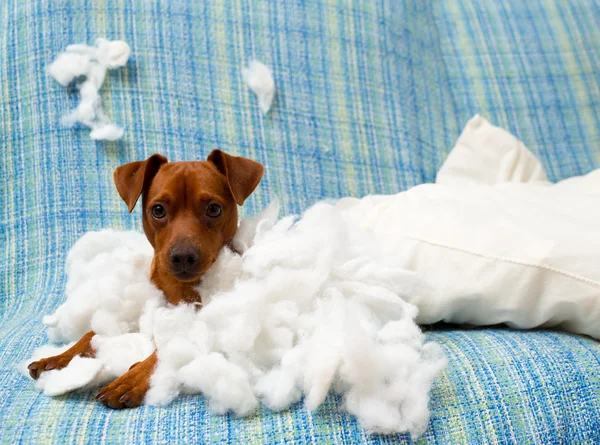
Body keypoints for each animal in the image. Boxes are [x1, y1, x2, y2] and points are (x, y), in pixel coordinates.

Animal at [27, 150, 262, 410]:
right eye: (158, 210)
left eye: (214, 209)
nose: (183, 256)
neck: (180, 289)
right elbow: (91, 334)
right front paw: (60, 357)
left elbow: (165, 350)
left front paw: (132, 378)